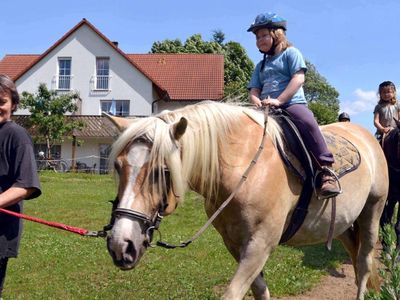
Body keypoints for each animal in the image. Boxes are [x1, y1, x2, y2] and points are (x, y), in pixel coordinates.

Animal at [104, 102, 388, 298]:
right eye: (118, 166)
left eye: (162, 171)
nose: (121, 244)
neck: (243, 167)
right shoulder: (235, 244)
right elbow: (260, 291)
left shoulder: (260, 243)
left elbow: (233, 294)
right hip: (342, 224)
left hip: (373, 212)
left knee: (363, 262)